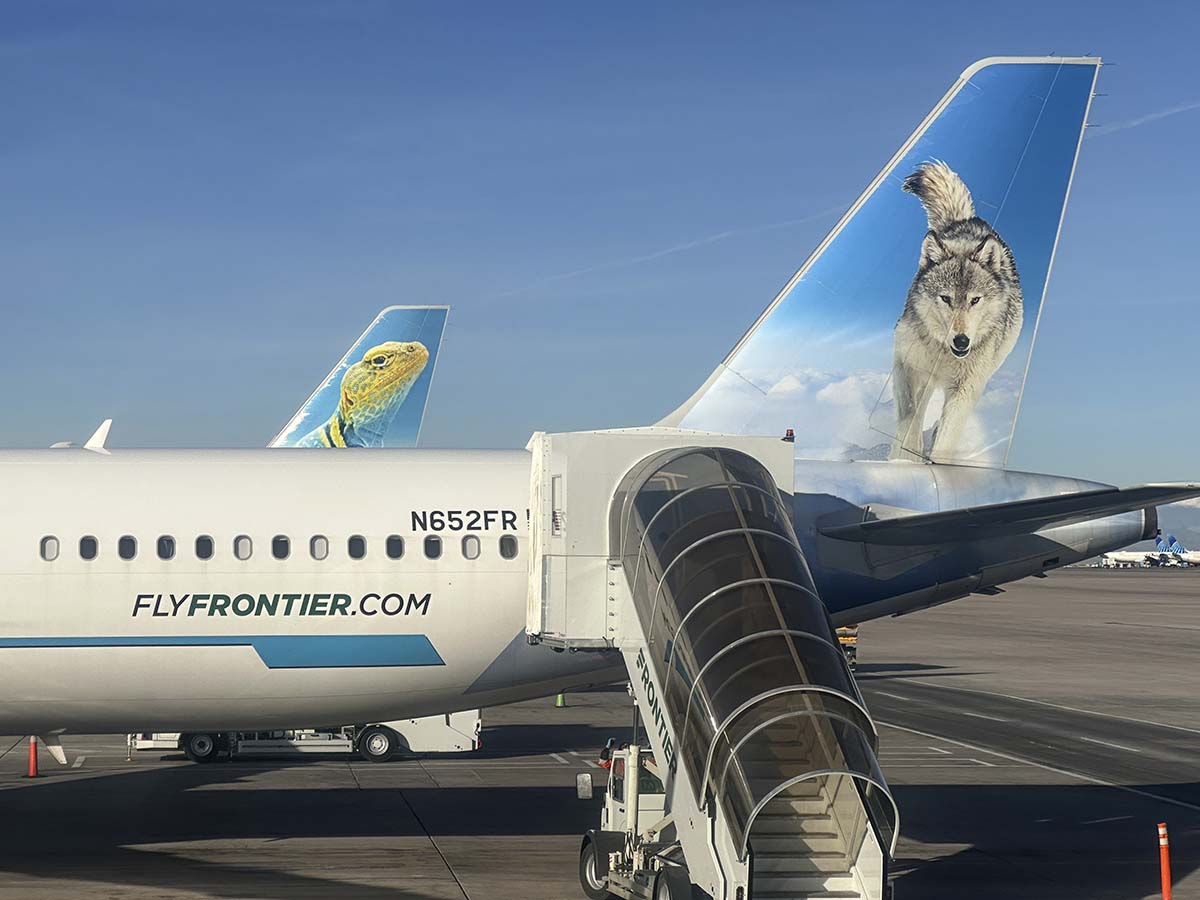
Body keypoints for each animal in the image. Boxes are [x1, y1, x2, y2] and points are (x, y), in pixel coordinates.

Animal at [889, 161, 1023, 462]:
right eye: (946, 298)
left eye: (975, 300)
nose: (961, 341)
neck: (944, 353)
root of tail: (969, 221)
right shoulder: (906, 364)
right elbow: (910, 415)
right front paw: (905, 457)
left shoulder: (965, 387)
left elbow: (946, 438)